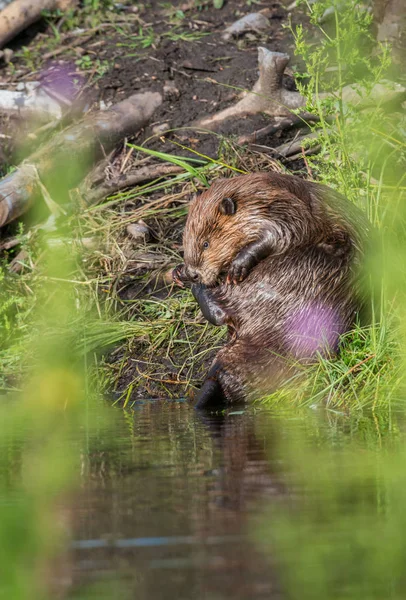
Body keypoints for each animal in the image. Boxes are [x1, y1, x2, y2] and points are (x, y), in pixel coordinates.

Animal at [173, 171, 370, 410]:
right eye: (185, 241)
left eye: (205, 244)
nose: (194, 273)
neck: (254, 191)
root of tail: (219, 374)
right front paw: (180, 270)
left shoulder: (281, 208)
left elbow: (281, 233)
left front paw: (237, 266)